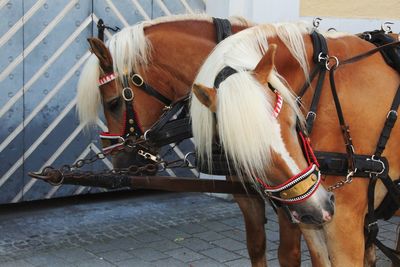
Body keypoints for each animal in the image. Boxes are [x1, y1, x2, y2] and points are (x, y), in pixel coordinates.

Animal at [75, 14, 332, 267]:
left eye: (113, 103)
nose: (120, 165)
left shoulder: (292, 200)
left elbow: (290, 254)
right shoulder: (247, 194)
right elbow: (256, 245)